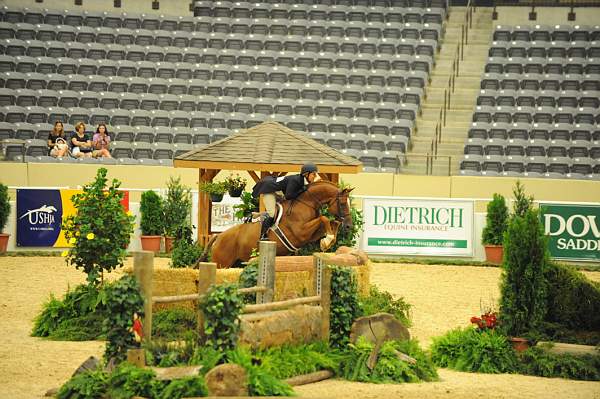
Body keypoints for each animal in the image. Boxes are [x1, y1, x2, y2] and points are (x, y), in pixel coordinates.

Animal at [206, 181, 354, 268]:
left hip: (236, 263)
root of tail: (218, 237)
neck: (307, 203)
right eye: (342, 204)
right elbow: (324, 218)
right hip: (221, 263)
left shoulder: (310, 235)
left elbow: (332, 222)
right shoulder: (301, 233)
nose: (349, 226)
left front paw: (327, 241)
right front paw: (327, 240)